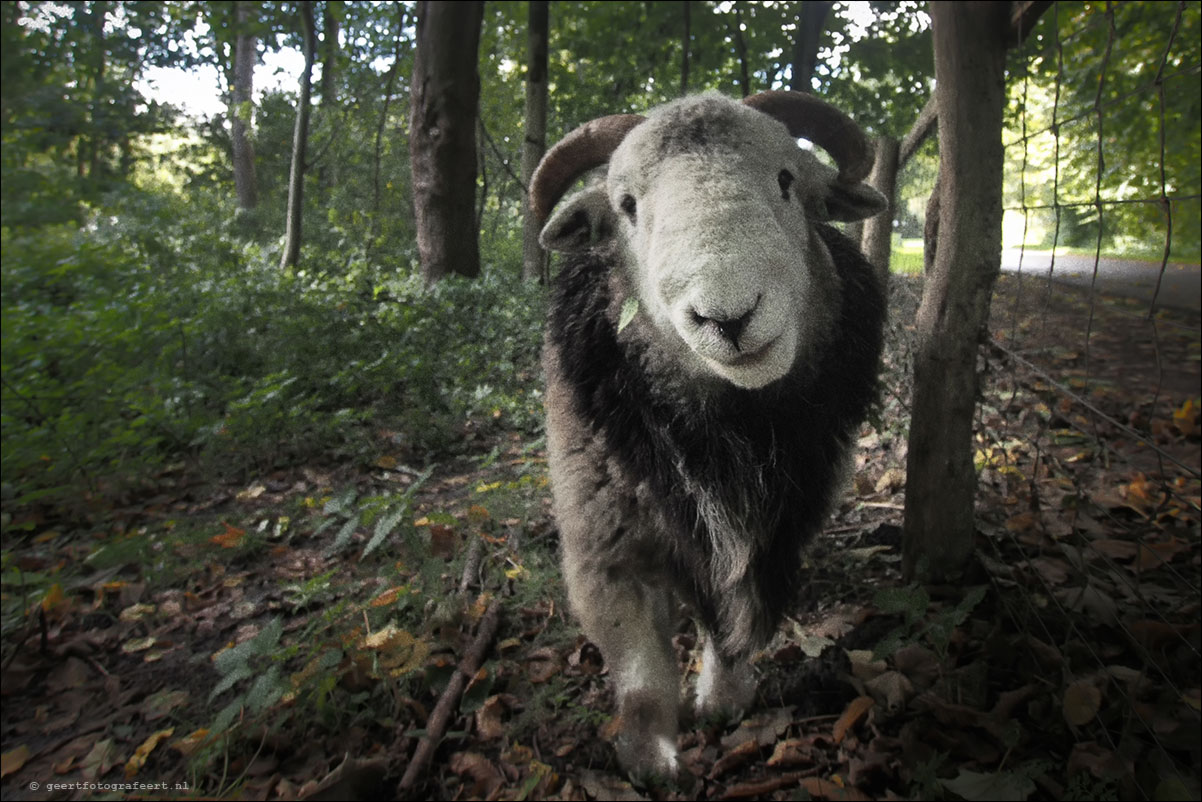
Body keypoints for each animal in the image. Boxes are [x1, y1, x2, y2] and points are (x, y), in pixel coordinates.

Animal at [531, 90, 889, 779]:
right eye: (626, 205)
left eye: (787, 179)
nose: (729, 317)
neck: (727, 436)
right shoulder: (605, 553)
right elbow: (642, 676)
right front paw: (651, 760)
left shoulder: (769, 540)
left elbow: (730, 629)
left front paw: (724, 701)